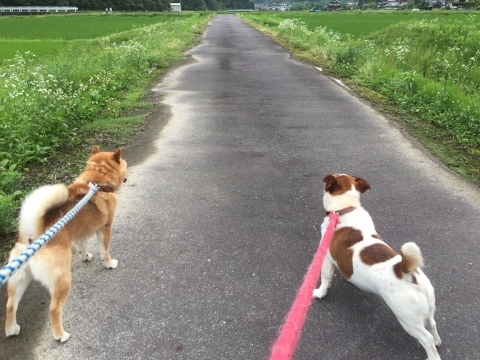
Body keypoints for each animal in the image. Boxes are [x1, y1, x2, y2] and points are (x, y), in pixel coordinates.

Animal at [4, 146, 127, 344]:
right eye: (124, 163)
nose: (126, 166)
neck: (97, 183)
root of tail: (34, 235)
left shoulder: (80, 233)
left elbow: (82, 246)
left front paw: (85, 256)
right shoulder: (105, 228)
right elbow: (105, 251)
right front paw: (109, 263)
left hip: (19, 279)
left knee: (10, 305)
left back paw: (12, 329)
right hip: (62, 279)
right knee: (54, 309)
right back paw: (60, 335)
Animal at [314, 174, 440, 360]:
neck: (346, 209)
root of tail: (406, 273)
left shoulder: (327, 260)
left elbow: (325, 278)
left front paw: (321, 292)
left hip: (408, 320)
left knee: (426, 338)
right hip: (428, 304)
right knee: (432, 322)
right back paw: (438, 340)